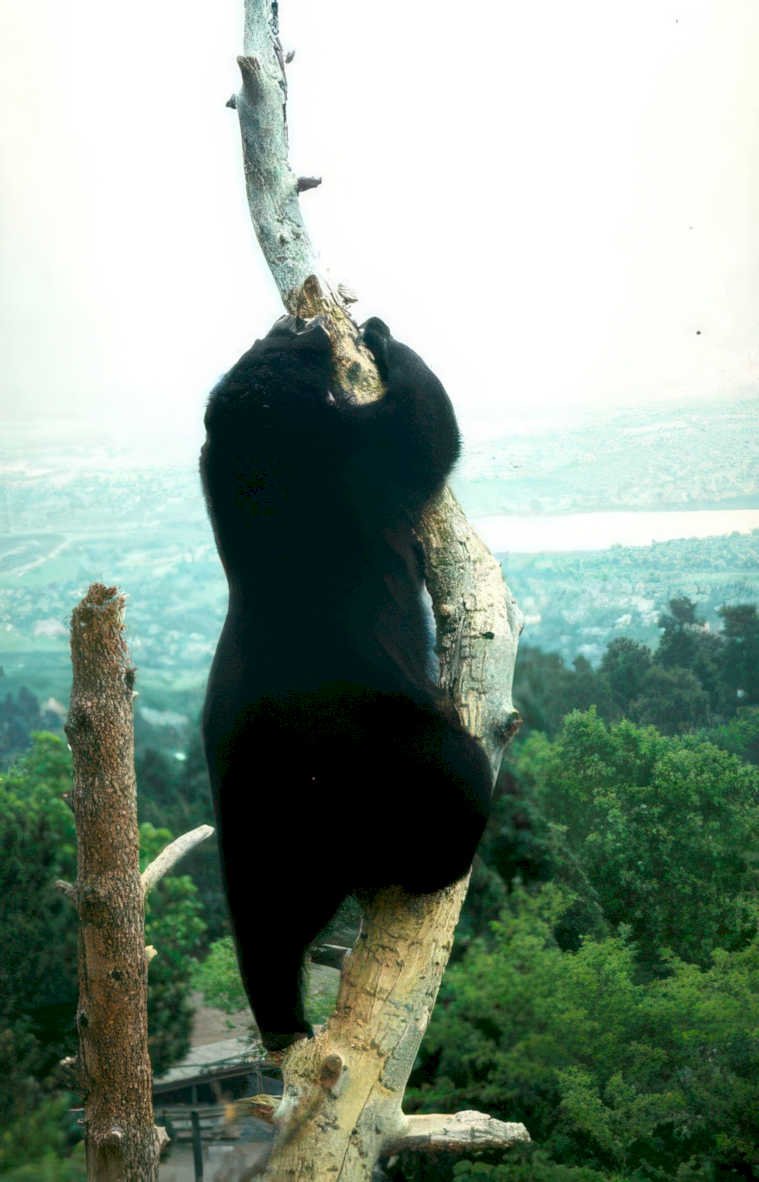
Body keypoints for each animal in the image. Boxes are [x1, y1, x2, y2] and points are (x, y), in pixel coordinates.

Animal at [200, 315, 492, 1051]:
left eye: (256, 343)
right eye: (279, 347)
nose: (292, 320)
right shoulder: (351, 458)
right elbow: (420, 429)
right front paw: (385, 338)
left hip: (266, 838)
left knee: (268, 925)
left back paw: (286, 1026)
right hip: (398, 756)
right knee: (456, 789)